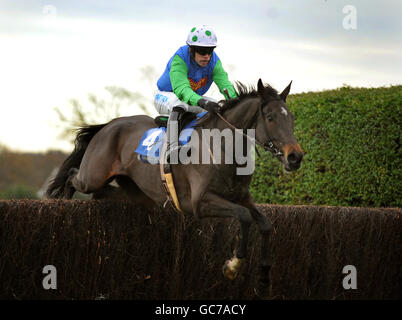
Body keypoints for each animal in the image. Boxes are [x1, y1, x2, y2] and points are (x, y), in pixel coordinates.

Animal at [47, 78, 304, 298]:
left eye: (291, 118)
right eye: (270, 117)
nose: (295, 157)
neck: (223, 147)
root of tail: (110, 124)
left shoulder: (242, 197)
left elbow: (266, 224)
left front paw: (263, 281)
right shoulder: (200, 203)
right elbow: (244, 217)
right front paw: (233, 265)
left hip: (135, 192)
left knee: (102, 193)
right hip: (93, 175)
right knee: (72, 177)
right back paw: (64, 203)